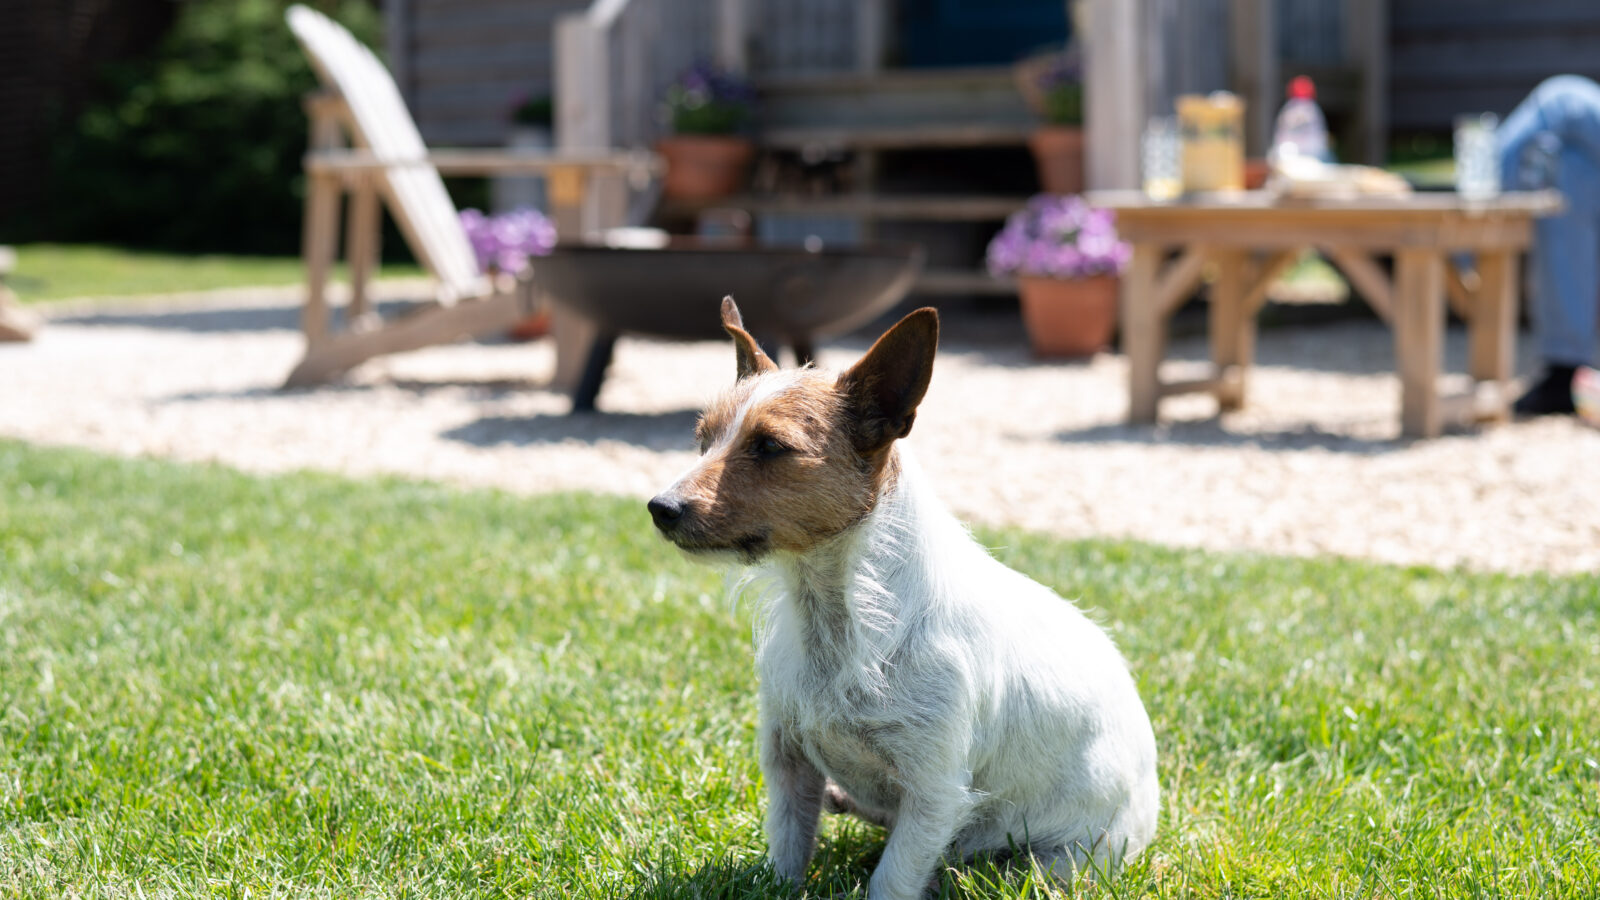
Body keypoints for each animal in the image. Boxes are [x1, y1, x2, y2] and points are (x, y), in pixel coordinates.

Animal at [649, 297, 1164, 890]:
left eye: (770, 447)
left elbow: (892, 878)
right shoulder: (788, 762)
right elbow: (787, 848)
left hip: (1053, 862)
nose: (659, 507)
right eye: (703, 440)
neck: (835, 617)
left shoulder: (935, 794)